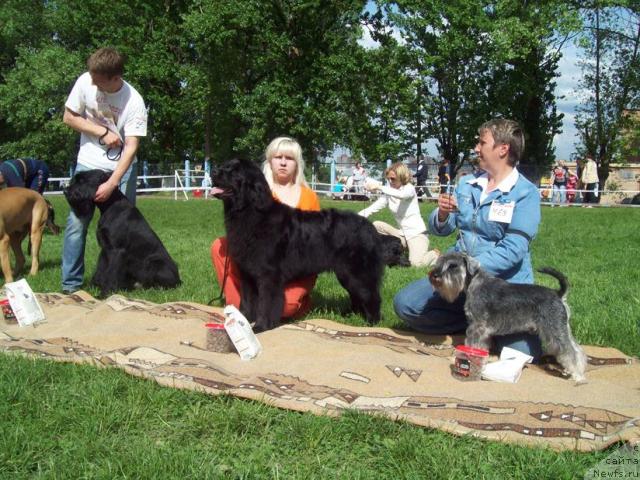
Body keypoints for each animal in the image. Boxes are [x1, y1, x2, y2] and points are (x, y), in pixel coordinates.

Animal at [212, 159, 390, 332]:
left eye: (235, 171)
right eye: (224, 165)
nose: (214, 171)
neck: (250, 211)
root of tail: (371, 228)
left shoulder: (269, 275)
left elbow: (266, 303)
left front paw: (261, 327)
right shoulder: (247, 273)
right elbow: (247, 300)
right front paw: (242, 320)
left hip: (359, 273)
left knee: (371, 296)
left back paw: (372, 323)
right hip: (346, 274)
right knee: (357, 295)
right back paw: (351, 317)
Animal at [428, 251, 588, 382]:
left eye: (453, 266)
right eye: (439, 262)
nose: (434, 275)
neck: (474, 283)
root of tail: (558, 294)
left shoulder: (476, 327)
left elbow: (472, 345)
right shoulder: (483, 331)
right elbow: (482, 347)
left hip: (554, 329)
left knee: (569, 351)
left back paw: (577, 375)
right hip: (562, 327)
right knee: (577, 349)